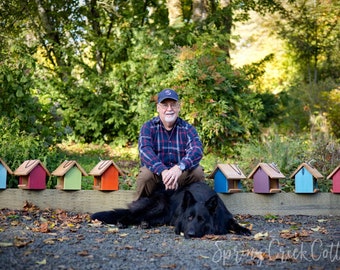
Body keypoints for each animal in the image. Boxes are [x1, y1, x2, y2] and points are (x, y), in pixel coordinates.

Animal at [91, 181, 251, 238]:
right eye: (189, 218)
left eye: (201, 219)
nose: (190, 234)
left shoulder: (225, 217)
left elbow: (234, 223)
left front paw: (243, 229)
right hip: (159, 206)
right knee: (132, 214)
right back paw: (123, 222)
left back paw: (145, 224)